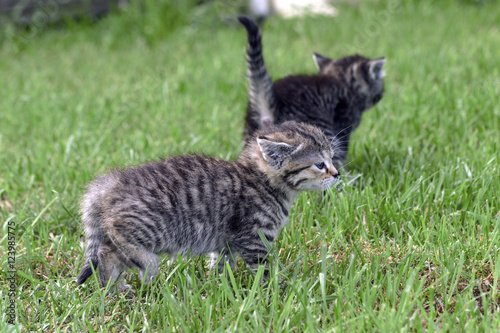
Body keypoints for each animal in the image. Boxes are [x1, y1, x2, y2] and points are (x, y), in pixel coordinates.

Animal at [76, 120, 340, 292]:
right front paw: (275, 290)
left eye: (331, 159)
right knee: (111, 246)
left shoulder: (227, 243)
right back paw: (133, 275)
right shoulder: (255, 238)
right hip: (148, 228)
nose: (336, 174)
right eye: (319, 164)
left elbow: (221, 265)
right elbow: (263, 269)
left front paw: (217, 287)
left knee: (106, 252)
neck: (262, 181)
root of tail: (109, 184)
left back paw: (114, 287)